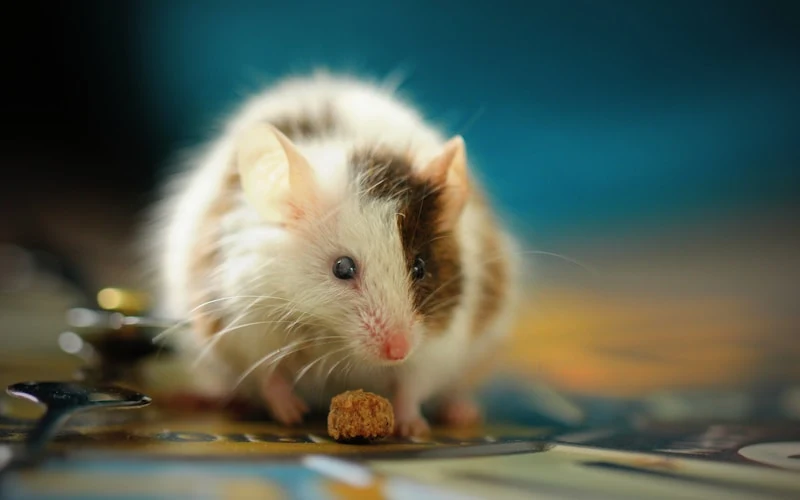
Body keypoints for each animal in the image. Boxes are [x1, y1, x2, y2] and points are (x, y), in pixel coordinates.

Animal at [146, 72, 523, 436]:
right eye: (342, 268)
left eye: (419, 267)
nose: (397, 351)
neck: (336, 340)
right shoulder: (245, 326)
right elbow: (268, 377)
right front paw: (291, 415)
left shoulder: (437, 345)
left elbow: (411, 386)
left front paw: (412, 426)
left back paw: (461, 412)